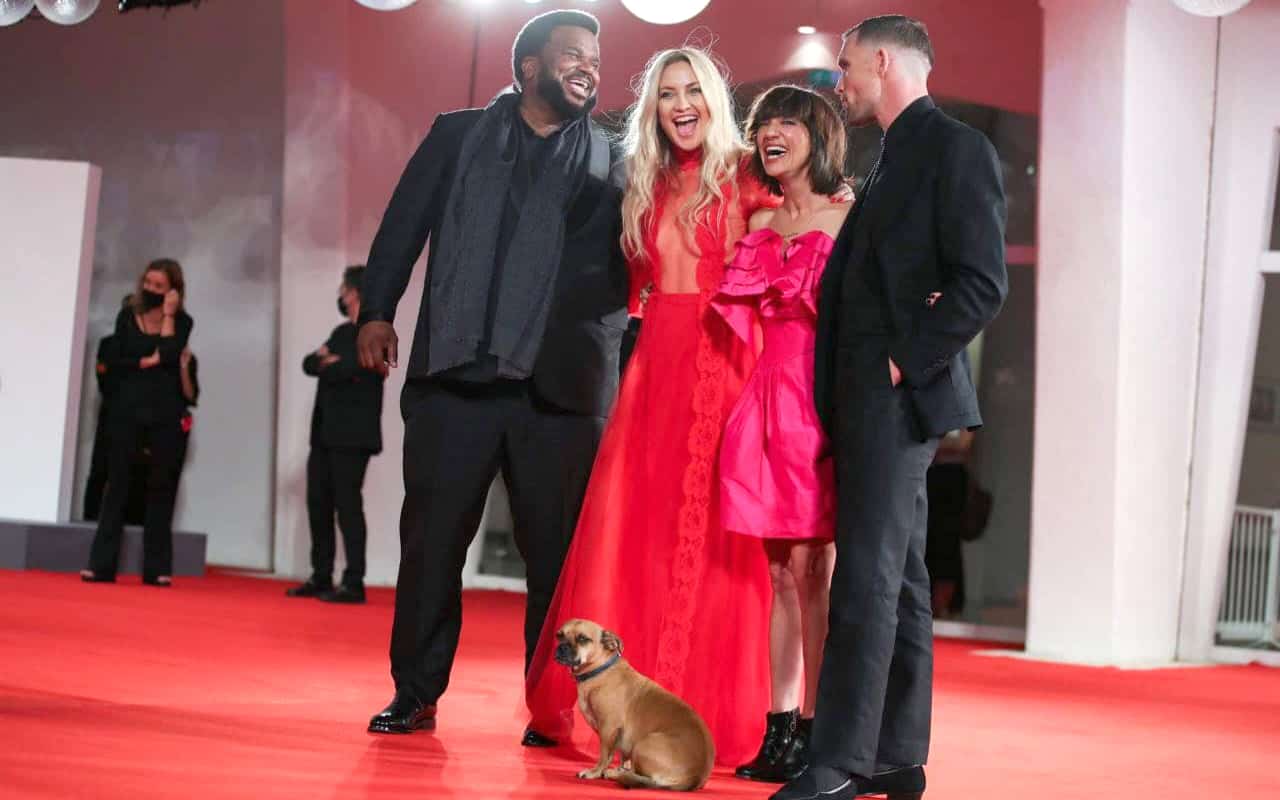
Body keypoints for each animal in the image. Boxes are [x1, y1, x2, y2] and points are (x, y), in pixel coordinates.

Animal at [555, 618, 715, 791]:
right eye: (559, 635)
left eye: (583, 639)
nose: (561, 647)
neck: (600, 671)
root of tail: (694, 778)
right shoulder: (620, 738)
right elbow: (622, 757)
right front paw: (617, 768)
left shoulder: (608, 729)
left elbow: (605, 756)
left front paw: (595, 772)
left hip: (642, 745)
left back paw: (614, 774)